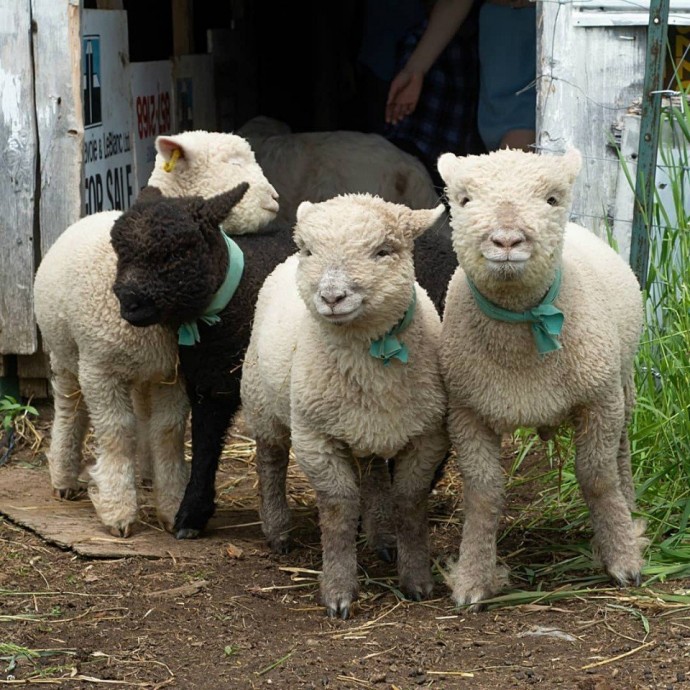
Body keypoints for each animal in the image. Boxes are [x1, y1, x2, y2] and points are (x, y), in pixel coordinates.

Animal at [31, 130, 274, 536]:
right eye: (232, 162)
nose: (275, 201)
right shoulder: (100, 370)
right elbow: (116, 432)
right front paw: (117, 511)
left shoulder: (172, 375)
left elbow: (167, 432)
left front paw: (172, 503)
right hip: (65, 354)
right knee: (70, 408)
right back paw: (64, 476)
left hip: (145, 371)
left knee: (142, 417)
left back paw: (145, 476)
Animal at [241, 194, 446, 620]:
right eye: (310, 250)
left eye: (383, 251)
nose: (331, 297)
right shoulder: (314, 438)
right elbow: (337, 511)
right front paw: (338, 591)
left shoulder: (427, 435)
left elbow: (409, 503)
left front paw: (416, 578)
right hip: (261, 399)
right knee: (270, 461)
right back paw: (277, 531)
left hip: (366, 427)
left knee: (373, 472)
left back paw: (382, 537)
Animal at [436, 148, 644, 604]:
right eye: (463, 200)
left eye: (551, 199)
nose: (507, 240)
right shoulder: (466, 412)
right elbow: (483, 493)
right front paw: (472, 579)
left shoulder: (600, 399)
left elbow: (598, 478)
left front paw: (623, 558)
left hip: (623, 383)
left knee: (621, 453)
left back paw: (632, 510)